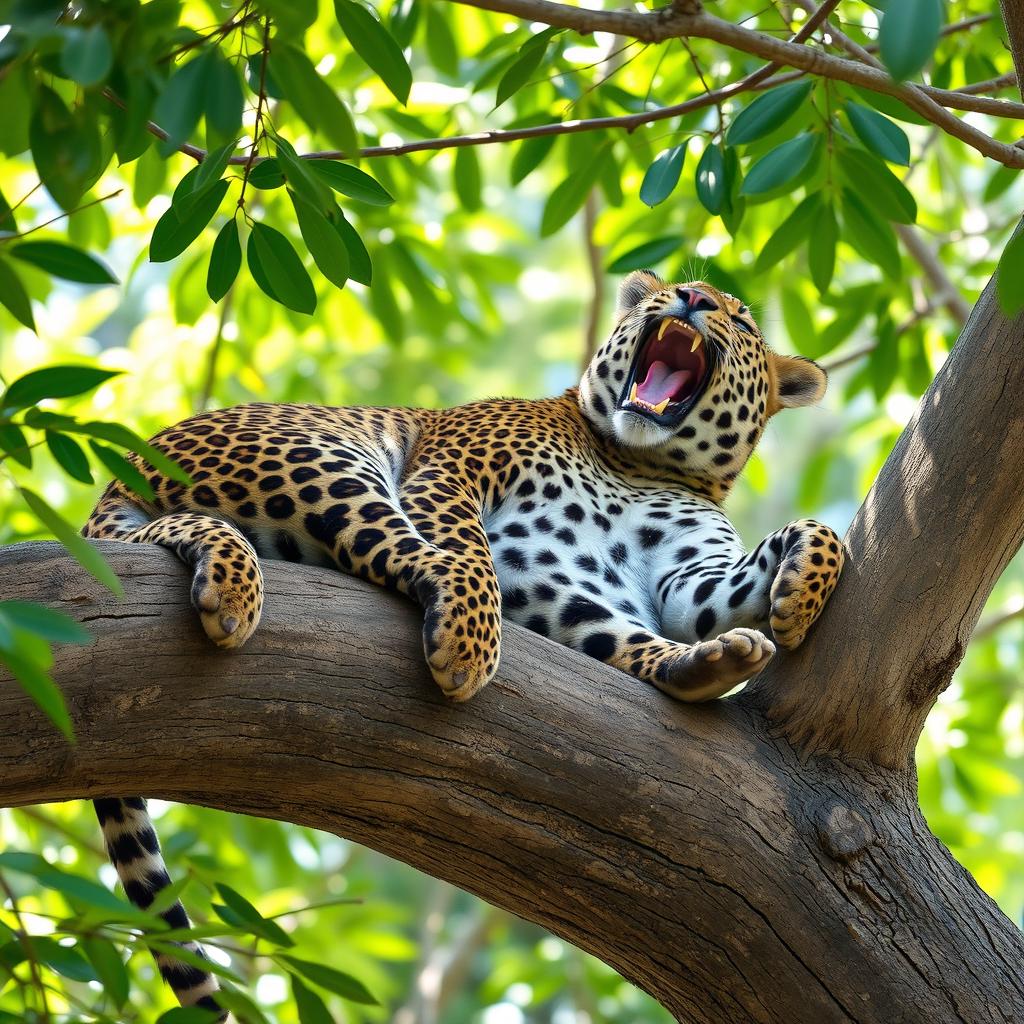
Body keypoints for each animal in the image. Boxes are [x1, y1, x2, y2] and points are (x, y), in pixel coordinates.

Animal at [82, 271, 843, 1015]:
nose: (691, 299)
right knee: (394, 544)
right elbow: (465, 547)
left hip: (553, 584)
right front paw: (466, 636)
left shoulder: (685, 579)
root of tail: (112, 484)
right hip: (322, 452)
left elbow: (795, 546)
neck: (640, 463)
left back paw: (708, 663)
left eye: (739, 320)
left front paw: (800, 592)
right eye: (669, 292)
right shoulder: (453, 471)